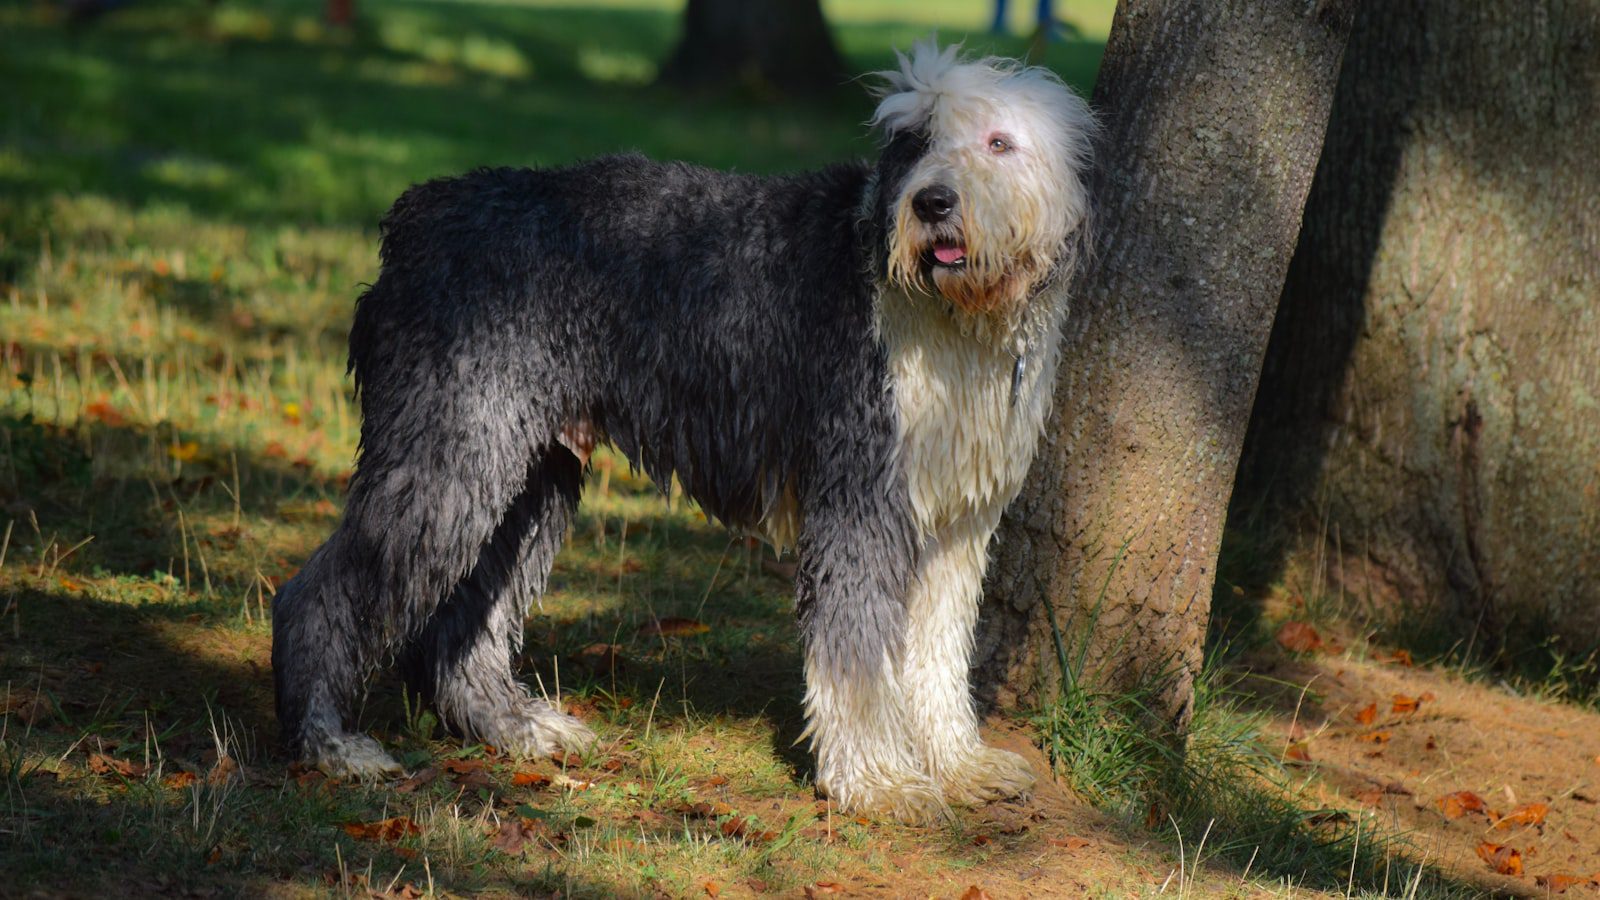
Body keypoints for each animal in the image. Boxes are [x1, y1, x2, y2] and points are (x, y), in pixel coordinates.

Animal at [278, 43, 1100, 819]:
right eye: (918, 140)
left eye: (998, 142)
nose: (932, 203)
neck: (943, 313)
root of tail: (420, 212)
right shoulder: (860, 501)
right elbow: (858, 659)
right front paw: (879, 782)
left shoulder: (956, 523)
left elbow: (937, 655)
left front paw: (959, 765)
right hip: (448, 455)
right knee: (317, 593)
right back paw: (330, 743)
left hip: (527, 475)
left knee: (460, 627)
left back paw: (519, 729)